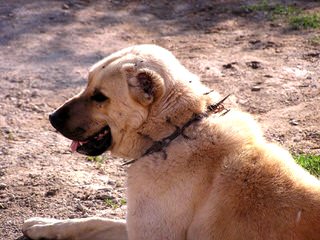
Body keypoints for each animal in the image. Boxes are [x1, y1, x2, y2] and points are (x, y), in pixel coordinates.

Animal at [22, 44, 320, 238]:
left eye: (100, 97)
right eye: (86, 84)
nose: (51, 118)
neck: (171, 134)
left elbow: (98, 222)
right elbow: (92, 220)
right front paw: (45, 225)